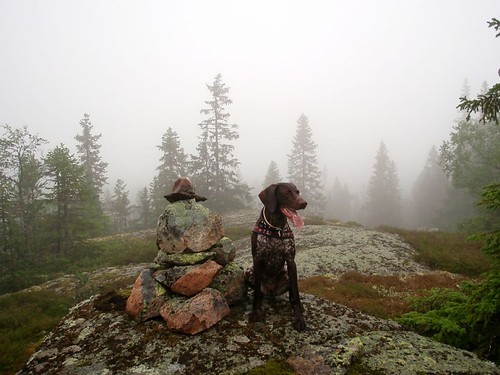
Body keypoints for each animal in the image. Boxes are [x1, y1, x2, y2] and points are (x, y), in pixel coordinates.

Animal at [247, 184, 306, 330]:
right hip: (248, 271)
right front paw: (255, 311)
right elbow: (256, 294)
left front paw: (299, 317)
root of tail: (271, 291)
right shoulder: (257, 260)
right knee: (260, 293)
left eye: (298, 192)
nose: (304, 203)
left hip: (287, 274)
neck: (275, 228)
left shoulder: (291, 262)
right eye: (287, 193)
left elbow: (296, 292)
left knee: (292, 294)